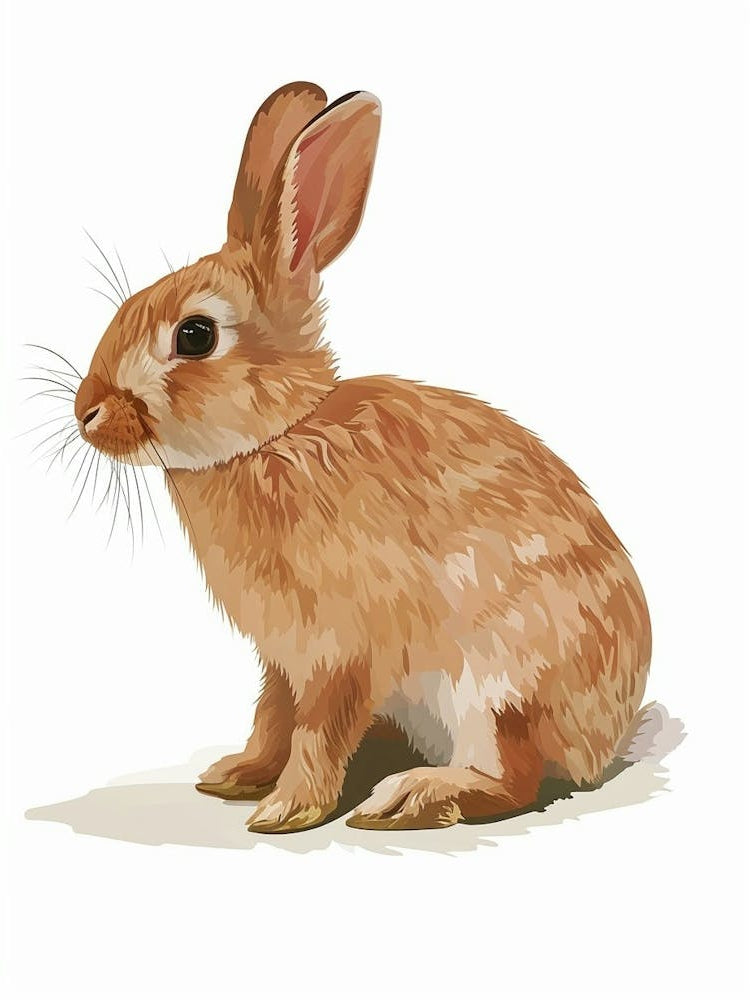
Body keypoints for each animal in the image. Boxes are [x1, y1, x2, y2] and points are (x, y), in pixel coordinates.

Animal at [72, 82, 651, 832]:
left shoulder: (344, 651)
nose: (85, 412)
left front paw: (286, 809)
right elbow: (273, 717)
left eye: (195, 335)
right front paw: (238, 775)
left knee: (513, 776)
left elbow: (318, 728)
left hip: (497, 689)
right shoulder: (282, 659)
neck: (280, 436)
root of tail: (608, 738)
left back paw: (414, 794)